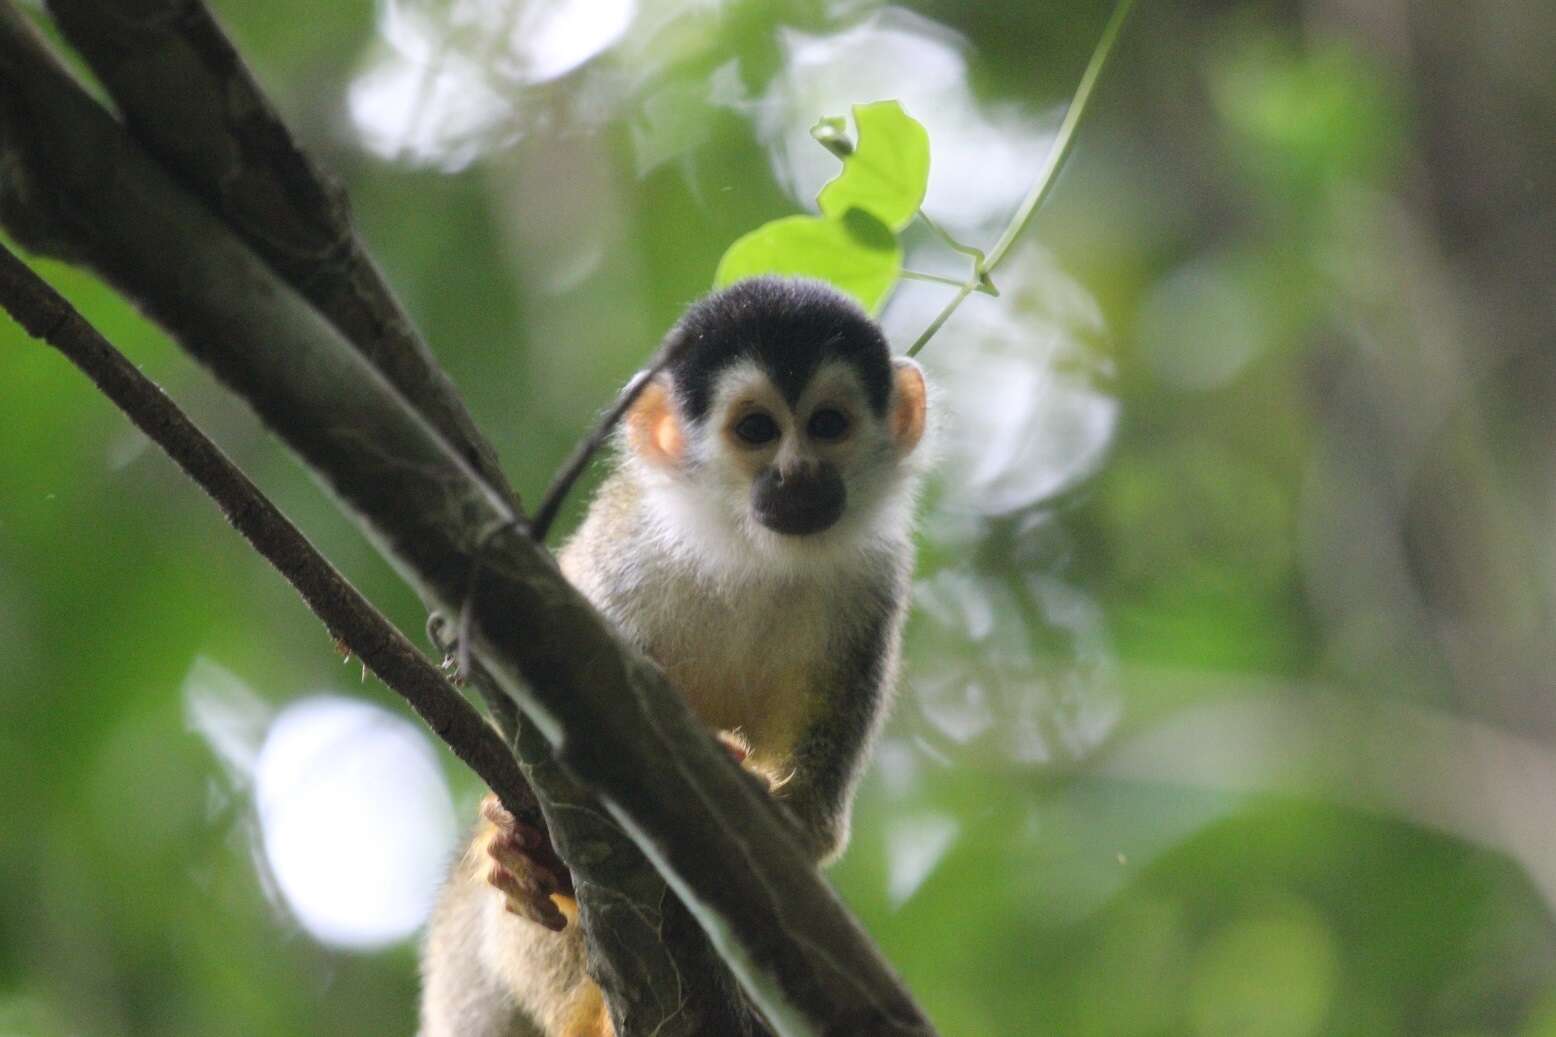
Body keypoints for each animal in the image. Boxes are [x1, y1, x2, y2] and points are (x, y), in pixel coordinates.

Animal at [420, 277, 927, 1033]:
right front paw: (525, 840)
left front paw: (765, 799)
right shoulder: (620, 558)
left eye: (828, 423)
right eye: (757, 430)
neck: (749, 553)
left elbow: (812, 829)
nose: (798, 474)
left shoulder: (875, 585)